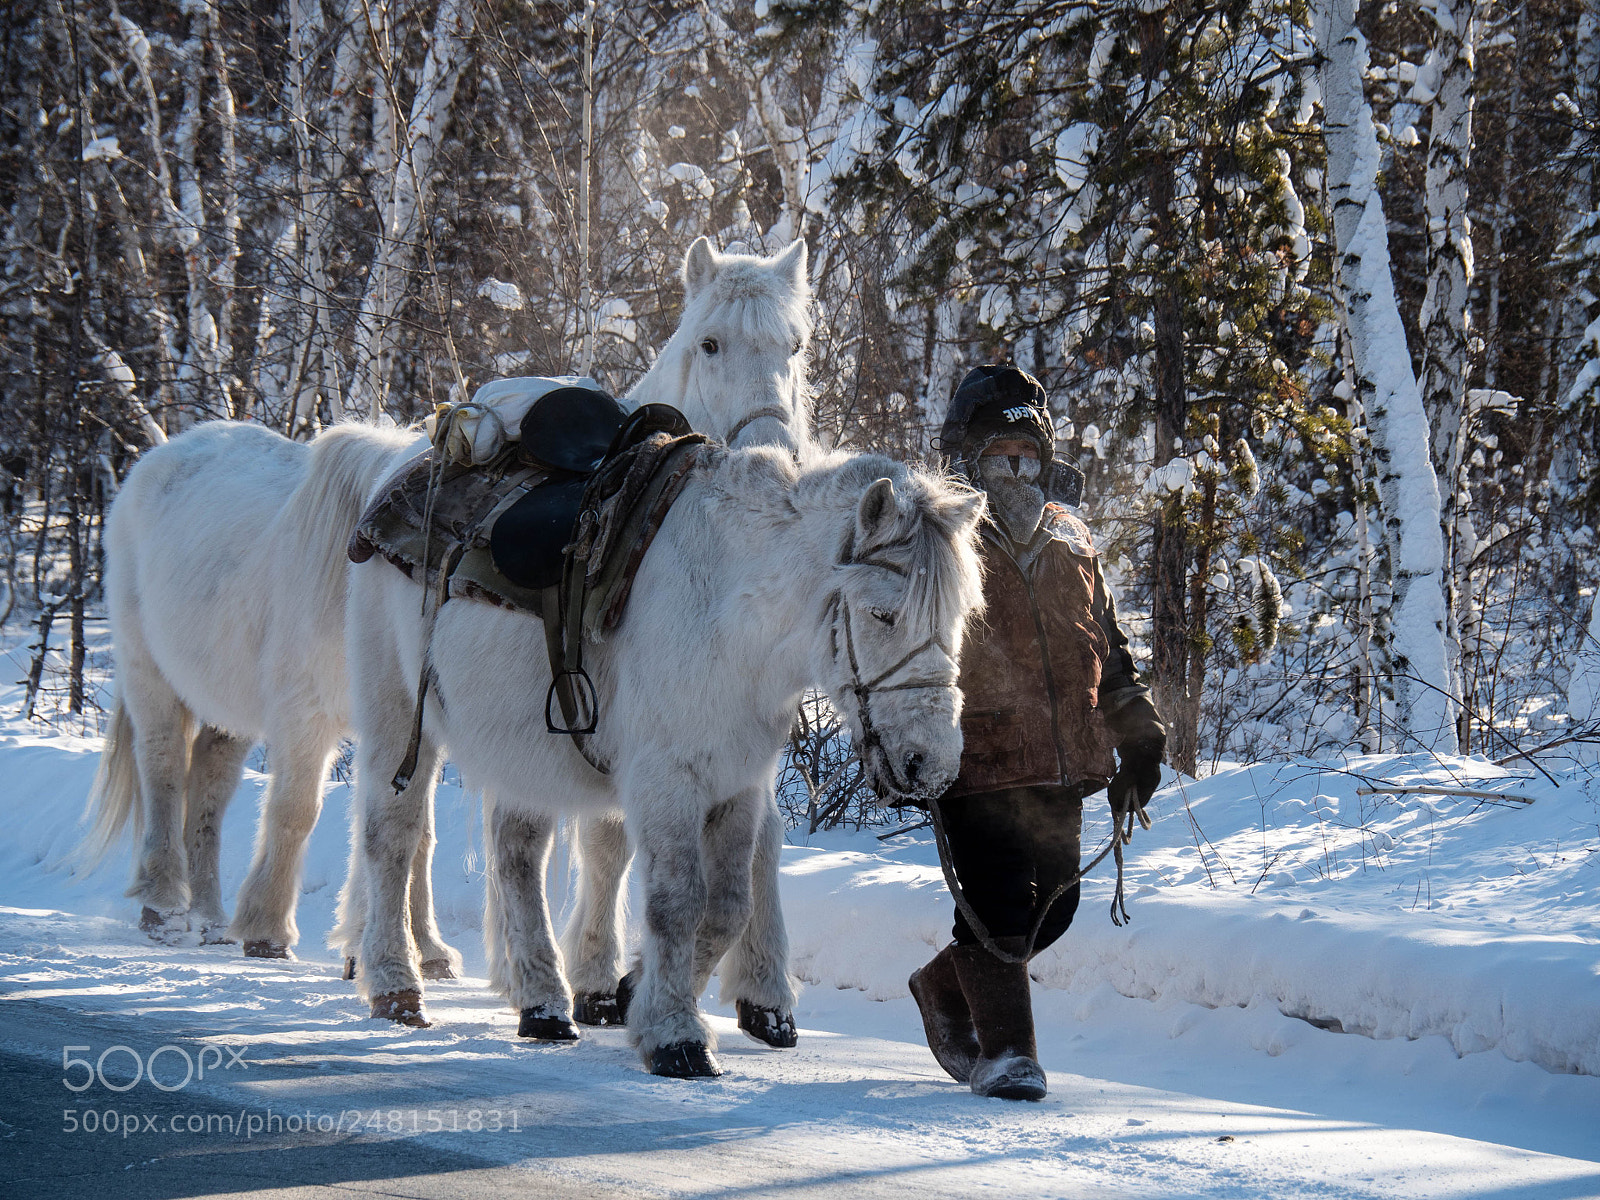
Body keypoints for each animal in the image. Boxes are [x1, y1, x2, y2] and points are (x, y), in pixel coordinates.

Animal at [81, 235, 813, 967]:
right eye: (711, 343)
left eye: (796, 345)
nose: (772, 451)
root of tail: (158, 457)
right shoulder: (305, 715)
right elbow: (300, 810)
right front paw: (276, 930)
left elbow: (426, 828)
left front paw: (416, 947)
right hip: (153, 678)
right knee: (165, 769)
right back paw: (168, 905)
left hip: (236, 709)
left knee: (210, 781)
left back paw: (208, 916)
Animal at [334, 432, 985, 1077]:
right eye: (882, 613)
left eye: (957, 616)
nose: (931, 765)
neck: (726, 615)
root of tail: (402, 464)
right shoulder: (666, 780)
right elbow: (677, 902)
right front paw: (676, 1035)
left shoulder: (737, 783)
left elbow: (727, 905)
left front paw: (635, 995)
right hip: (399, 715)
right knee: (392, 836)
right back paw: (396, 986)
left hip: (524, 756)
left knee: (516, 857)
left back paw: (543, 1005)